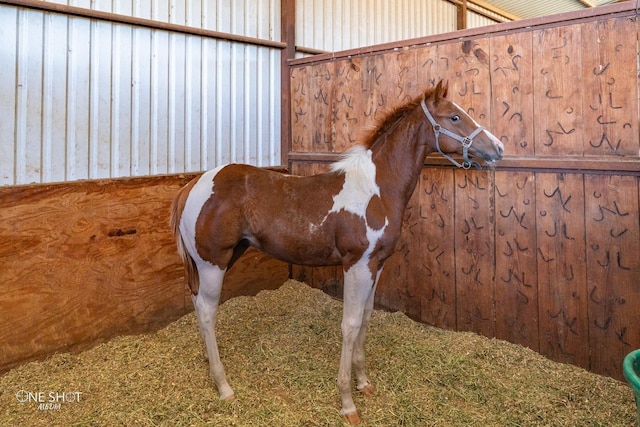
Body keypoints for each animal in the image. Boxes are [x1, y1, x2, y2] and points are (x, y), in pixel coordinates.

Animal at [170, 80, 504, 424]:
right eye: (454, 117)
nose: (498, 148)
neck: (376, 188)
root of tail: (192, 186)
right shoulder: (356, 264)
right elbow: (350, 324)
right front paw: (347, 403)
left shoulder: (376, 265)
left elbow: (366, 318)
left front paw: (364, 383)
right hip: (213, 263)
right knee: (207, 312)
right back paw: (224, 387)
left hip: (226, 257)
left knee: (198, 305)